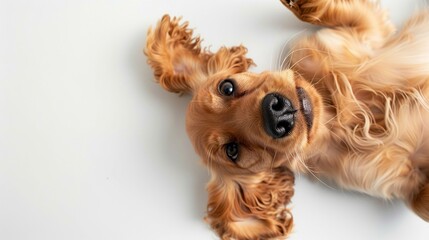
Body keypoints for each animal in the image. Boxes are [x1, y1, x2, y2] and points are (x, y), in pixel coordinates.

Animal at [144, 0, 428, 239]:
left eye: (227, 87)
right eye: (232, 150)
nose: (276, 112)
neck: (335, 112)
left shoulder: (362, 33)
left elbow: (337, 13)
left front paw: (303, 3)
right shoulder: (394, 180)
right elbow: (419, 202)